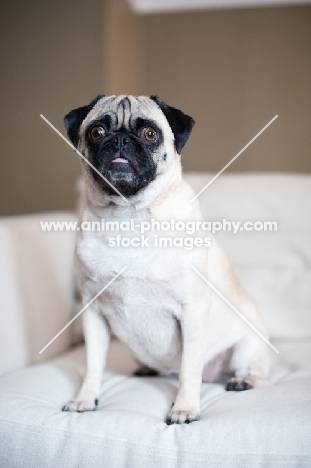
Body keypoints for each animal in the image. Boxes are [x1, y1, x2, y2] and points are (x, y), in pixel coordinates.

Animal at [62, 95, 270, 424]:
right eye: (96, 132)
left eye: (150, 134)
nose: (120, 139)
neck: (128, 217)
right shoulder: (92, 312)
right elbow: (93, 364)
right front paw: (85, 398)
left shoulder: (192, 311)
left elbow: (188, 369)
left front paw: (184, 408)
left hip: (247, 348)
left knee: (251, 370)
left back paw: (242, 380)